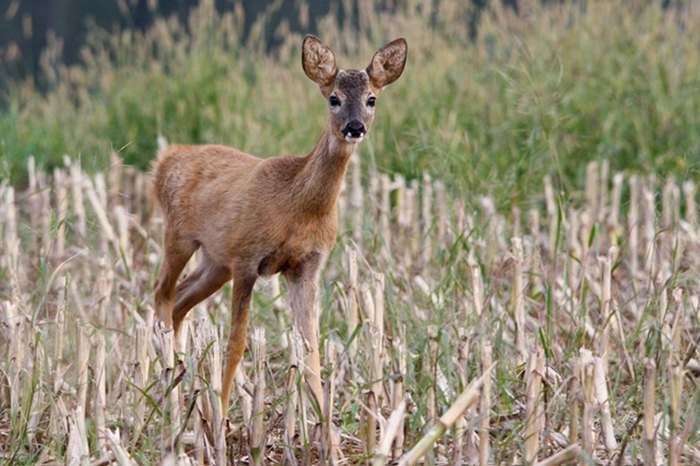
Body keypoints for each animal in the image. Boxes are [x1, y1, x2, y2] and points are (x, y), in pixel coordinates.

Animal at [150, 35, 408, 436]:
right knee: (161, 295)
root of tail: (165, 162)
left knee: (179, 302)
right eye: (333, 98)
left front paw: (329, 436)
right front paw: (222, 421)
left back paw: (178, 390)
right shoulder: (247, 258)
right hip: (179, 236)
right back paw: (169, 396)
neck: (299, 208)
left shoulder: (306, 267)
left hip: (215, 261)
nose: (354, 127)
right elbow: (236, 344)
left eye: (372, 99)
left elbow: (311, 349)